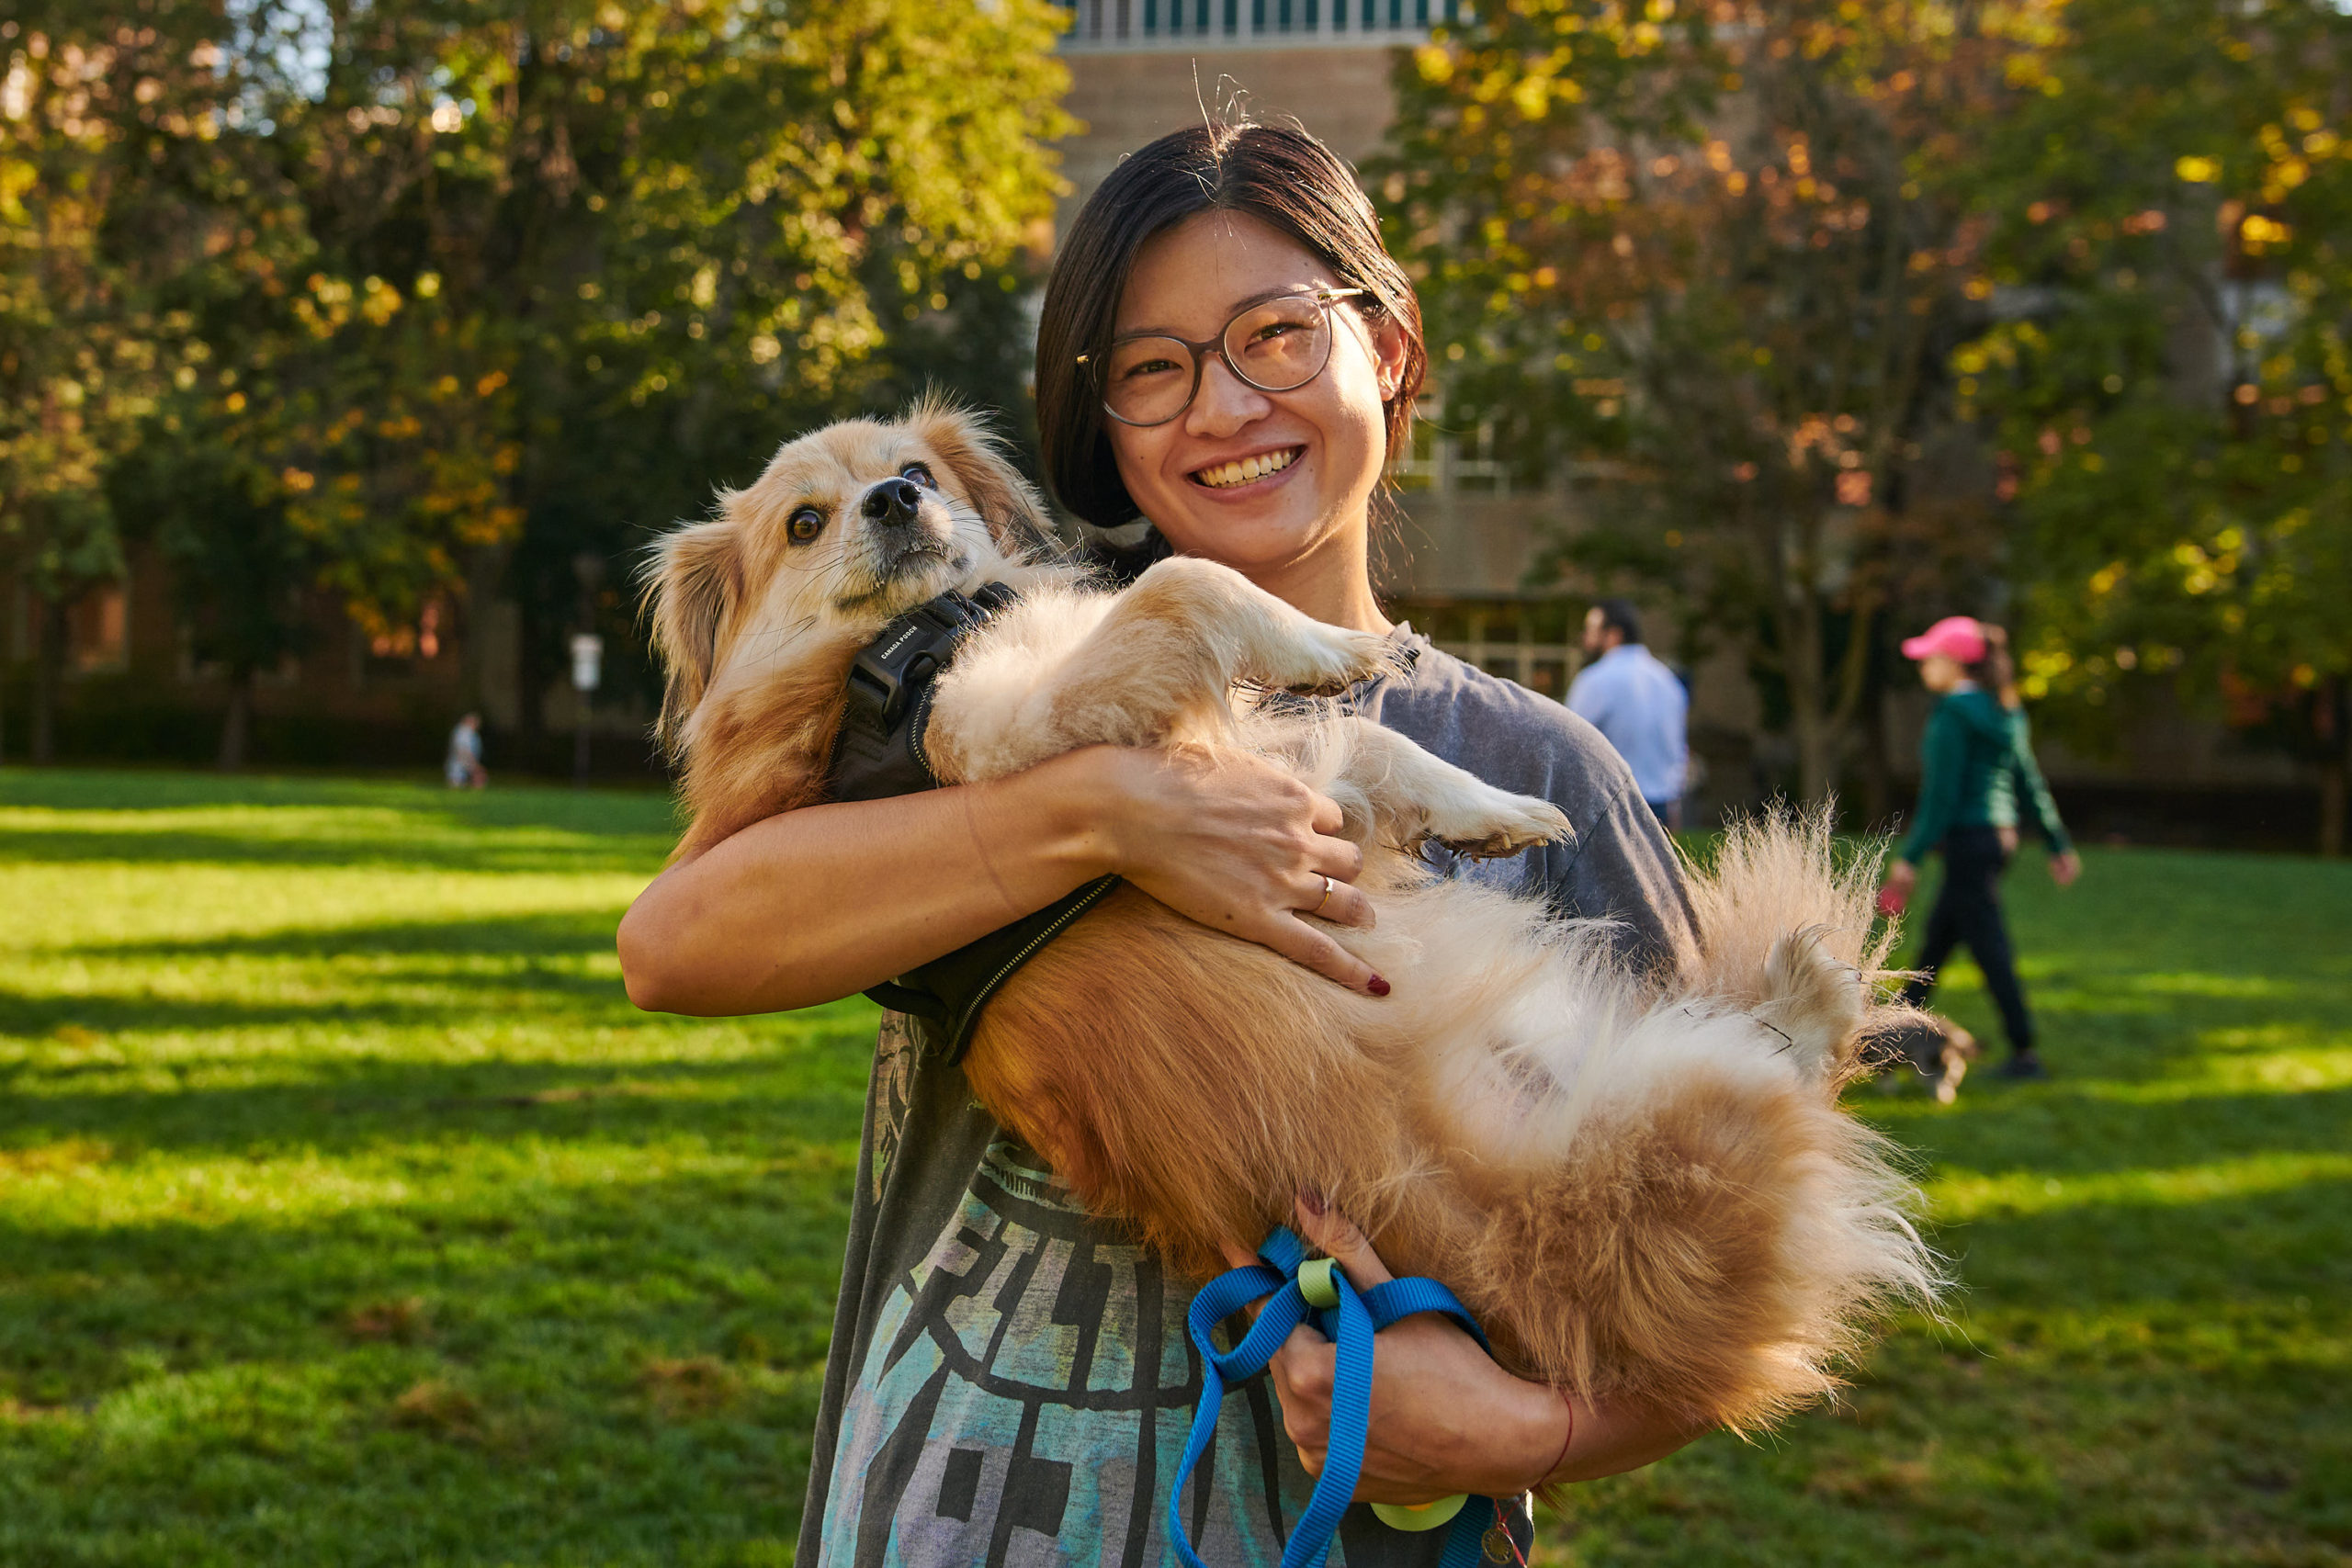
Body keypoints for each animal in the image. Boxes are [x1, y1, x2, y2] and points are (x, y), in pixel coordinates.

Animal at [649, 401, 1947, 1438]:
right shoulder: (1004, 733)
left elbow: (1374, 748)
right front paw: (1333, 643)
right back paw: (1810, 1000)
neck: (909, 646)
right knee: (1785, 1072)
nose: (895, 498)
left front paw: (1490, 809)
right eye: (802, 523)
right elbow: (1196, 583)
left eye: (914, 465)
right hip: (1683, 1118)